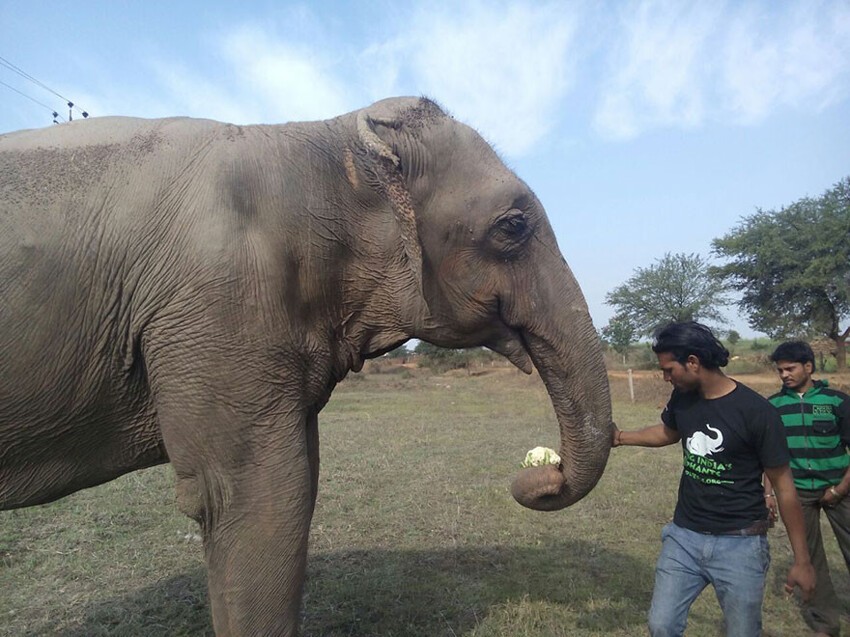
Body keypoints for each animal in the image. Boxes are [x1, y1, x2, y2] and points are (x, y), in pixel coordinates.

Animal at [0, 97, 608, 632]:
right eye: (513, 227)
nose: (542, 471)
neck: (331, 137)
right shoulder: (222, 308)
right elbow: (256, 497)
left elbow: (302, 478)